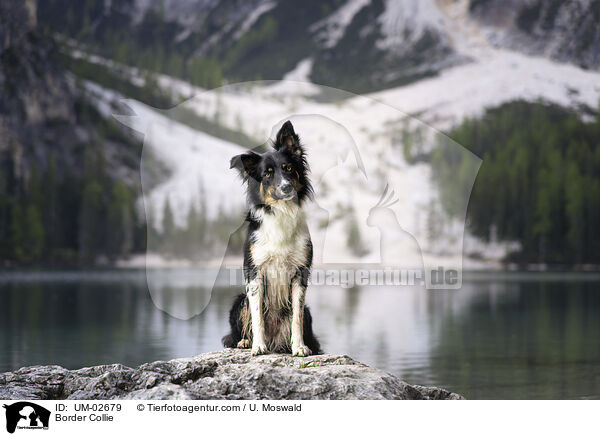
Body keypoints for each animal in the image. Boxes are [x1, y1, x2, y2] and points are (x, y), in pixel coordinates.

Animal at [223, 119, 322, 354]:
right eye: (267, 174)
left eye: (289, 169)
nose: (286, 188)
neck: (281, 212)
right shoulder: (254, 271)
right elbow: (257, 315)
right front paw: (258, 346)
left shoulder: (300, 272)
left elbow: (296, 317)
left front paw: (299, 347)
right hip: (239, 301)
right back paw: (245, 342)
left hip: (309, 313)